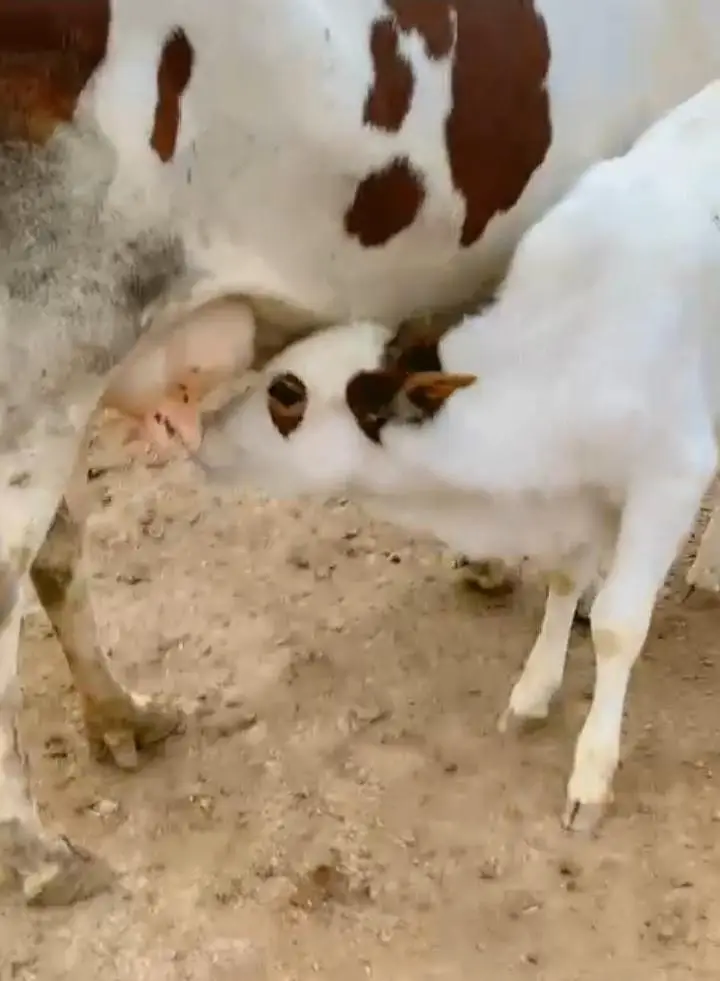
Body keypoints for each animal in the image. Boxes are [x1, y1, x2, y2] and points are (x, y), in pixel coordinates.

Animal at [191, 78, 720, 828]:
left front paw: (591, 771)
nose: (203, 431)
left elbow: (618, 625)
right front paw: (533, 690)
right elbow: (565, 579)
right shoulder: (578, 492)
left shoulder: (670, 473)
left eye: (285, 393)